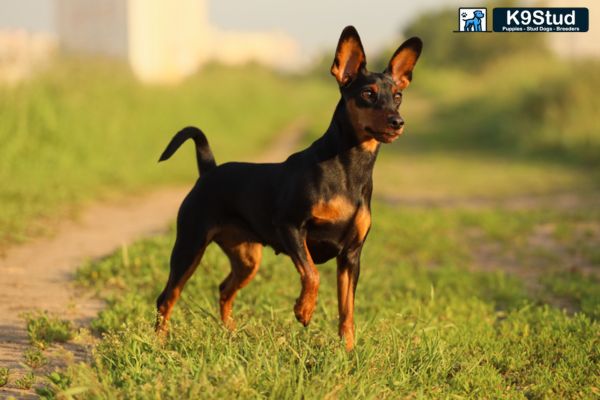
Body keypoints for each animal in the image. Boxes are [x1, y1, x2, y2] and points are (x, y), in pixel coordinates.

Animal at [155, 25, 422, 350]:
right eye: (367, 94)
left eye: (398, 96)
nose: (398, 121)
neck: (351, 170)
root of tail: (208, 170)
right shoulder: (291, 227)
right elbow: (312, 273)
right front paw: (303, 310)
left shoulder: (351, 256)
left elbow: (347, 310)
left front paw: (347, 349)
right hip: (190, 246)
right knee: (167, 297)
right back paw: (159, 343)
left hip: (247, 259)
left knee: (224, 288)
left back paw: (230, 333)